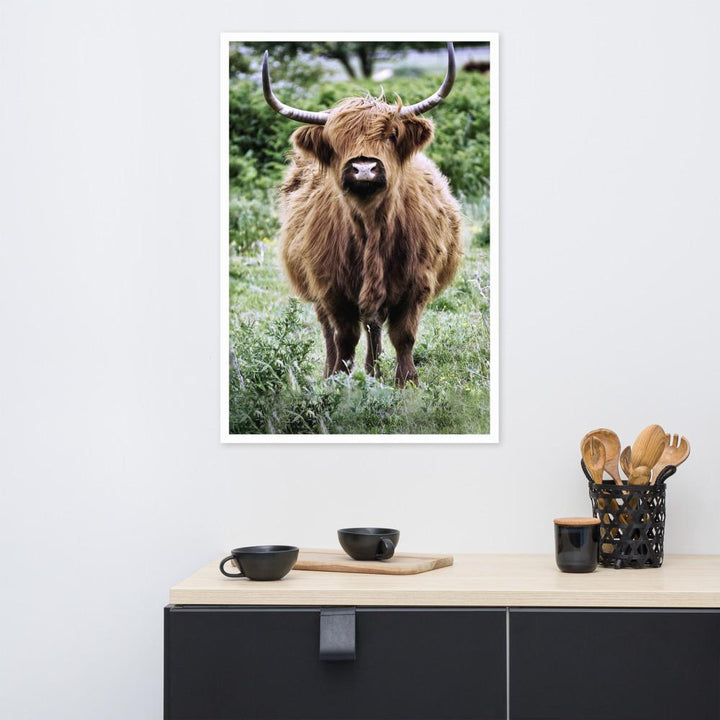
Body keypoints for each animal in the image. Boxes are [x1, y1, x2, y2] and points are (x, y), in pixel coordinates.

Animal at [262, 43, 462, 387]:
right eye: (335, 141)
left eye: (392, 135)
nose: (364, 168)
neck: (372, 227)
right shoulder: (331, 288)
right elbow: (344, 336)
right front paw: (340, 381)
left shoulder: (417, 284)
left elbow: (403, 335)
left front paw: (406, 382)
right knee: (332, 331)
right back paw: (338, 372)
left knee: (374, 324)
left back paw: (374, 371)